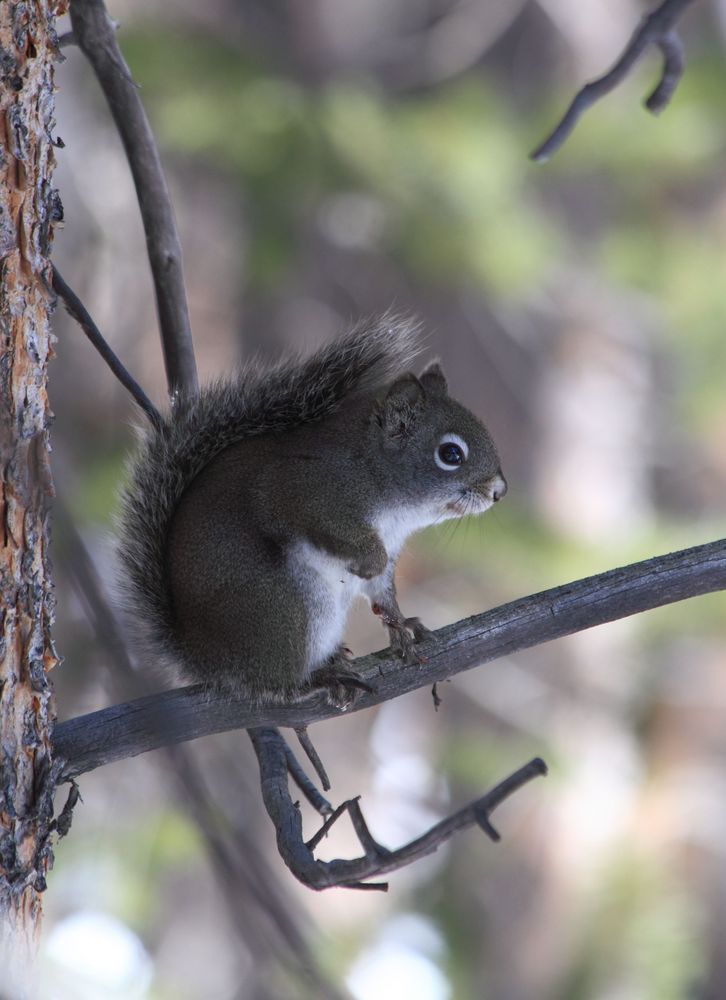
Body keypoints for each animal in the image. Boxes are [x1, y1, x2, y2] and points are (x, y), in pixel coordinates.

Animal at [118, 318, 506, 704]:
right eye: (451, 454)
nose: (499, 491)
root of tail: (204, 658)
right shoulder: (301, 488)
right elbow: (333, 534)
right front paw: (368, 562)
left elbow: (383, 593)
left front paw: (401, 626)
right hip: (282, 609)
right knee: (275, 686)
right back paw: (318, 679)